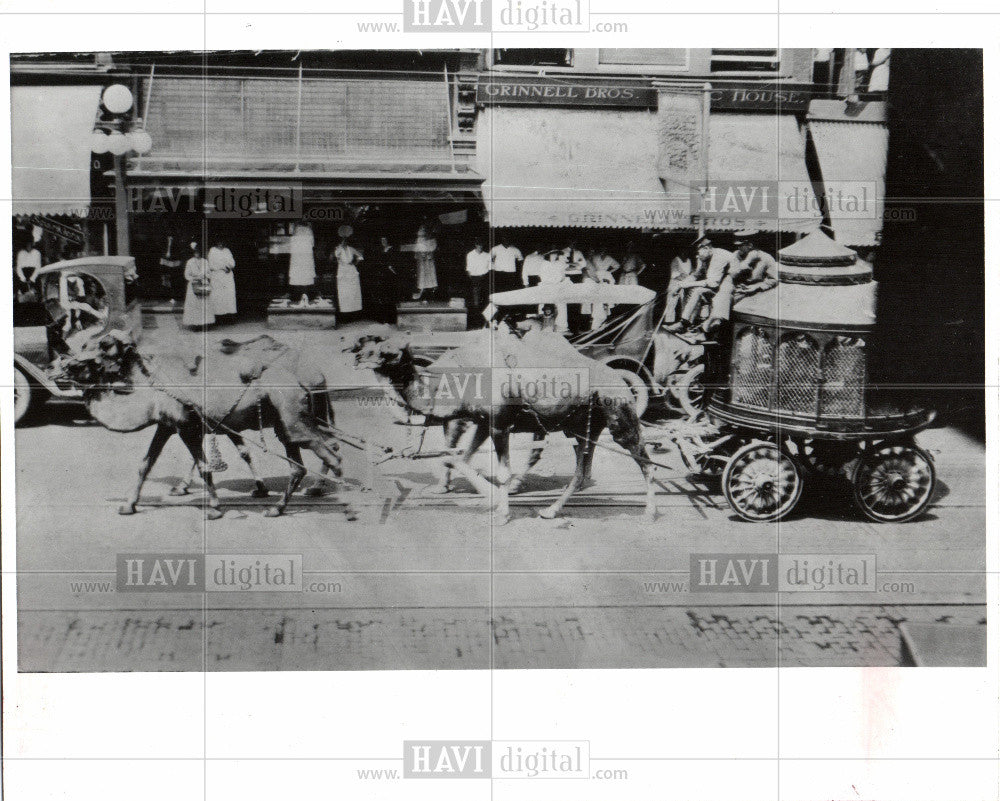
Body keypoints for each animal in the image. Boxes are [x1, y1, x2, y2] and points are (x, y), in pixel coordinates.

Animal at [59, 332, 348, 520]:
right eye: (84, 343)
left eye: (106, 345)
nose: (64, 364)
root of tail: (317, 372)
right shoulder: (170, 424)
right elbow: (146, 463)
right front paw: (129, 505)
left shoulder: (190, 425)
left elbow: (204, 465)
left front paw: (215, 508)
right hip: (290, 421)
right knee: (305, 459)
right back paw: (284, 505)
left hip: (298, 418)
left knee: (328, 449)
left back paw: (329, 496)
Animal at [352, 326, 656, 520]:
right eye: (373, 344)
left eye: (390, 351)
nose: (357, 355)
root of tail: (619, 380)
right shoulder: (483, 422)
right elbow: (460, 458)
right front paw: (486, 496)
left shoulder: (499, 423)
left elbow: (500, 470)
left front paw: (501, 509)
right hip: (582, 427)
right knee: (581, 470)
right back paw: (550, 511)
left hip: (619, 415)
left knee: (644, 459)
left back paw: (650, 513)